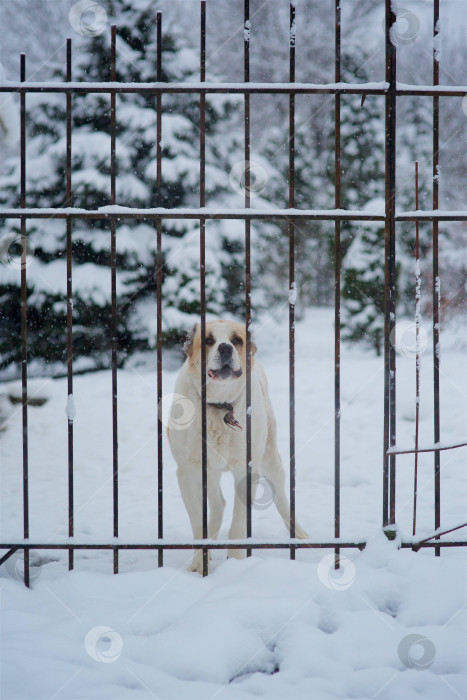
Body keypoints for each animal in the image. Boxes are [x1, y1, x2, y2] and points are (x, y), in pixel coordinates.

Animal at [167, 320, 308, 572]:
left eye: (236, 340)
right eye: (208, 340)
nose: (225, 348)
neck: (219, 406)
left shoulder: (247, 470)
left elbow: (238, 525)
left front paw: (235, 563)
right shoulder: (188, 473)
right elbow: (198, 524)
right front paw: (199, 564)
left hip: (271, 459)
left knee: (283, 500)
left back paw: (299, 535)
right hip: (209, 472)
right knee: (218, 504)